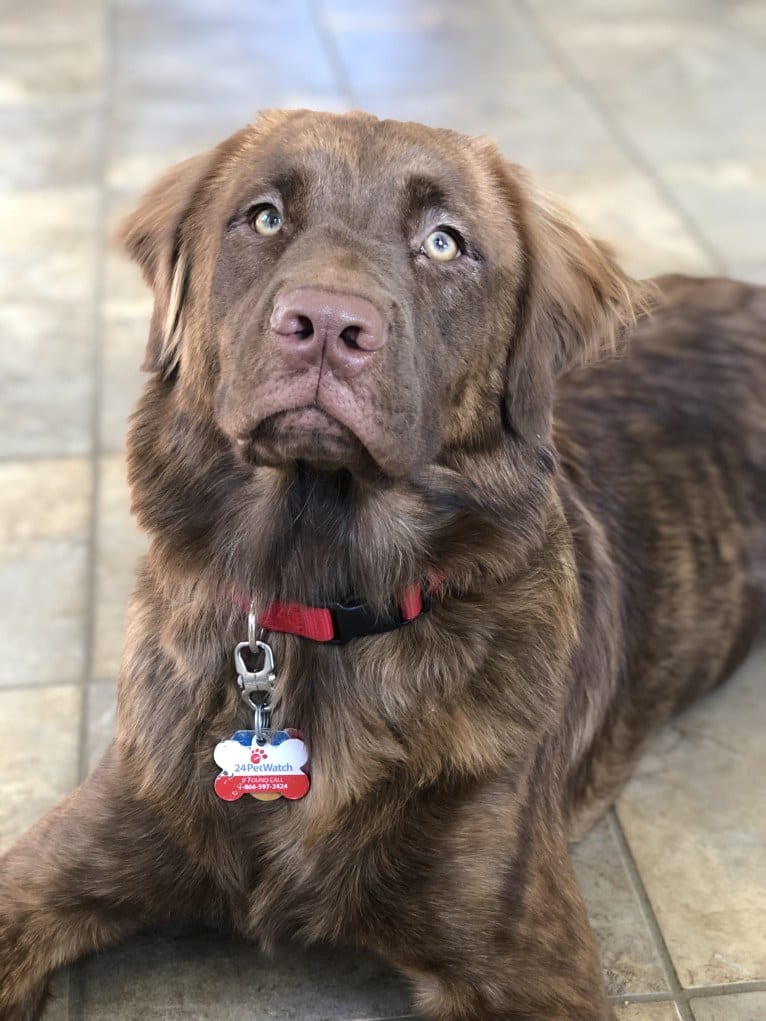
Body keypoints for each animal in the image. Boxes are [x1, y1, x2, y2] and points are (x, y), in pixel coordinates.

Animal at [1, 111, 766, 1021]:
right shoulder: (65, 854)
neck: (321, 594)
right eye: (264, 217)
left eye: (443, 242)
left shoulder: (527, 962)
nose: (329, 326)